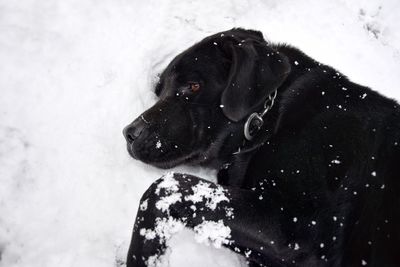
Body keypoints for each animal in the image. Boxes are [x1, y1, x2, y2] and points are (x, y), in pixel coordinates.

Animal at [123, 28, 398, 267]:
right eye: (159, 91)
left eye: (193, 86)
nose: (129, 133)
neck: (267, 121)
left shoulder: (298, 223)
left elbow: (163, 189)